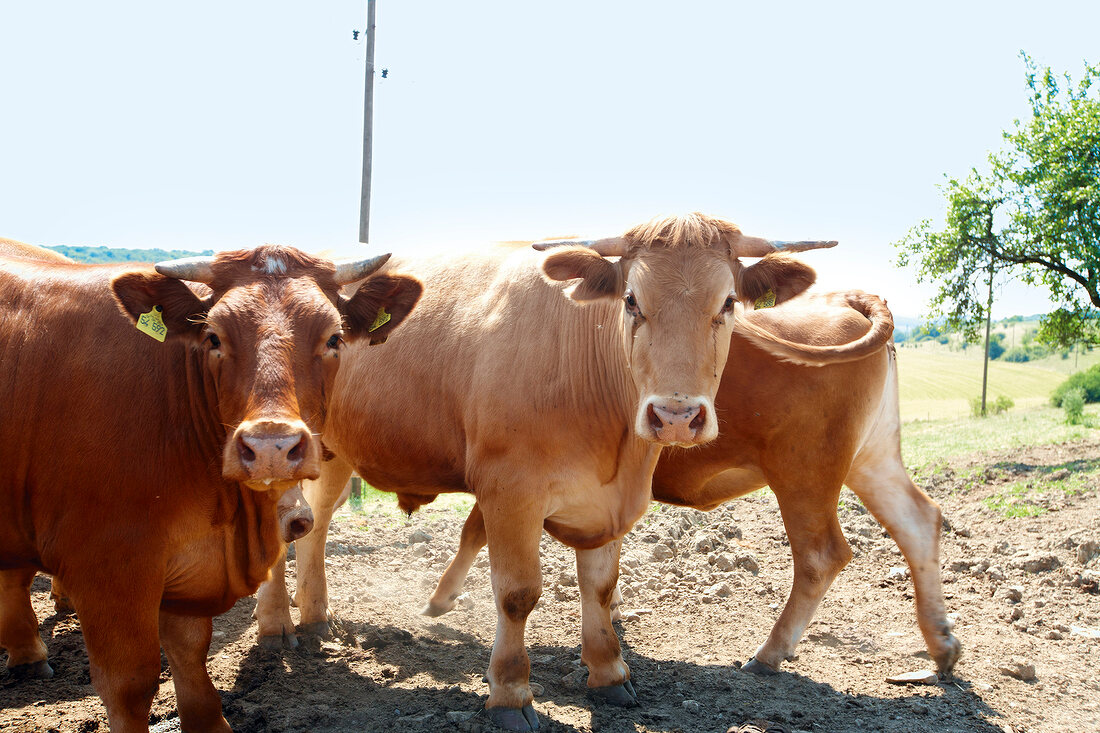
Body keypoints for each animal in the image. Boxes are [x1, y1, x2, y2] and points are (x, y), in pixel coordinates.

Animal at [0, 245, 420, 730]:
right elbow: (129, 684)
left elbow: (190, 650)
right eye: (214, 337)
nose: (271, 446)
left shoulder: (191, 568)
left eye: (334, 338)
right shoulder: (107, 568)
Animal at [255, 214, 840, 726]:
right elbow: (518, 594)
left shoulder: (610, 500)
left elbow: (600, 587)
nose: (675, 416)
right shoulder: (509, 491)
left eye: (729, 302)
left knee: (315, 524)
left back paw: (316, 617)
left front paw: (609, 673)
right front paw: (511, 694)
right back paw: (277, 625)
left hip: (333, 450)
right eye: (632, 301)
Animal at [424, 288, 959, 682]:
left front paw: (441, 599)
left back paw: (769, 653)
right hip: (871, 458)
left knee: (821, 554)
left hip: (805, 471)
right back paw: (942, 646)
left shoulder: (514, 472)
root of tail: (842, 298)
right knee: (918, 521)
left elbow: (474, 530)